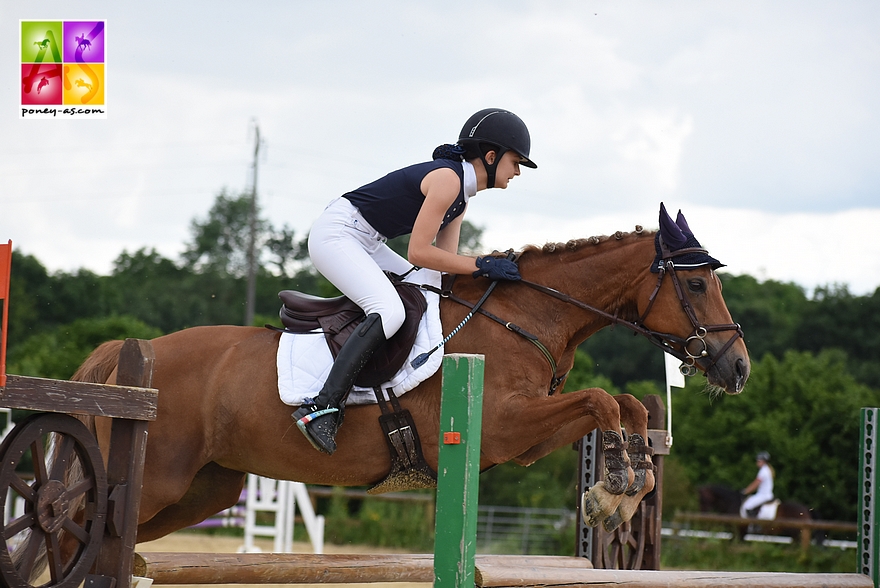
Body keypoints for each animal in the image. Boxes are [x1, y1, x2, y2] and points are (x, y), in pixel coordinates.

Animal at [13, 204, 748, 580]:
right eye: (698, 283)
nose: (736, 366)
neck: (529, 317)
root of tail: (131, 353)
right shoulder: (506, 427)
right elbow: (600, 400)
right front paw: (614, 489)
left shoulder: (524, 439)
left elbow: (621, 404)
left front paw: (622, 486)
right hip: (160, 476)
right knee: (70, 515)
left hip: (205, 488)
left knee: (109, 532)